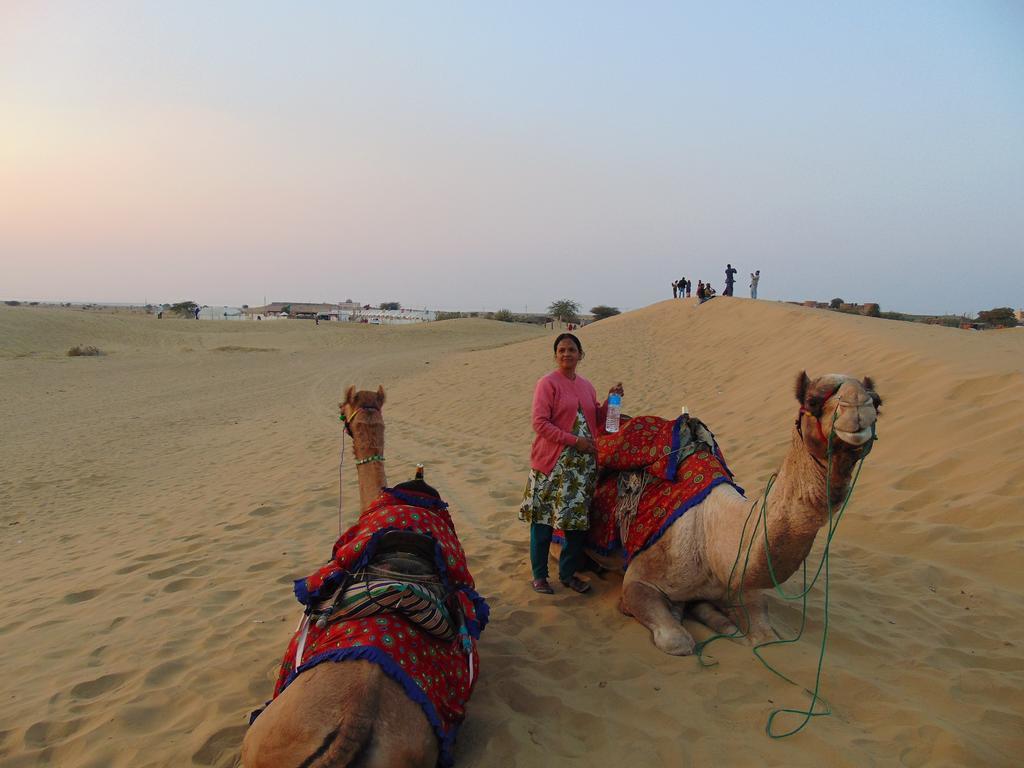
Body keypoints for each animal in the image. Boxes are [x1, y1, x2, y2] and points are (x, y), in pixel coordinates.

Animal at [585, 372, 880, 655]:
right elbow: (677, 640)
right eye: (812, 401)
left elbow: (766, 636)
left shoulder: (739, 582)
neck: (708, 535)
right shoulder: (639, 578)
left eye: (877, 402)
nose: (857, 405)